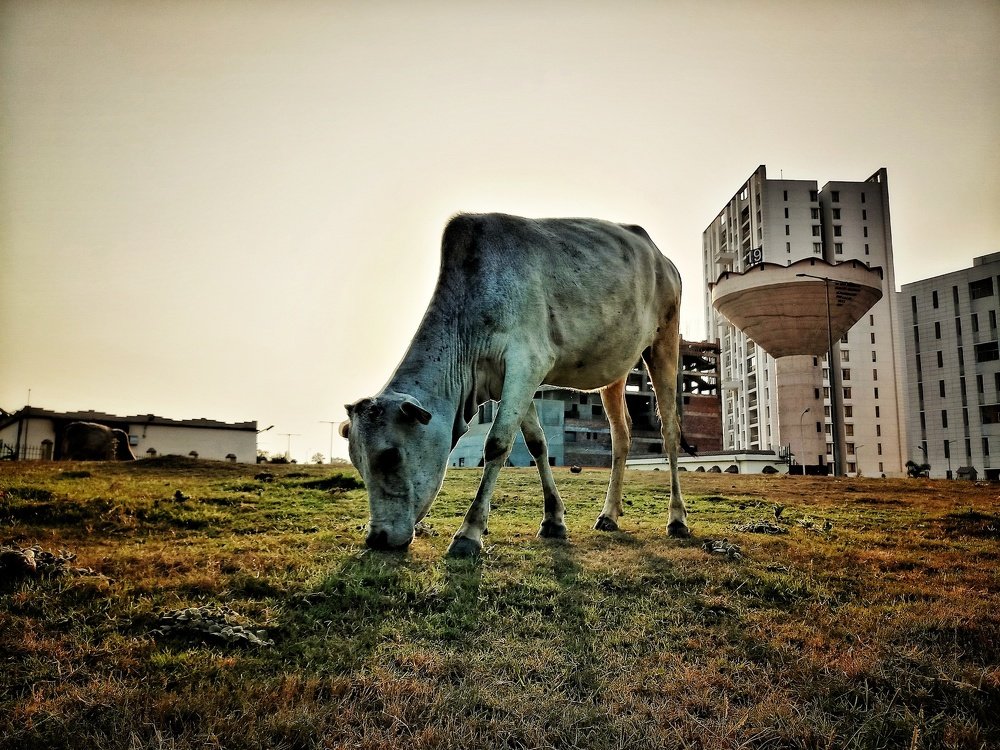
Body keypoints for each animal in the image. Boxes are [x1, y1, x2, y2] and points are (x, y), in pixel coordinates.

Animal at [341, 213, 688, 557]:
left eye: (390, 455)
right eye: (357, 461)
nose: (377, 537)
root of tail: (662, 258)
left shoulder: (527, 364)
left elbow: (497, 443)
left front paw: (469, 532)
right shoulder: (513, 380)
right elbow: (536, 443)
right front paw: (553, 520)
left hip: (665, 342)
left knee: (670, 431)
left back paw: (677, 519)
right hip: (615, 370)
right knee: (621, 435)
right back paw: (609, 515)